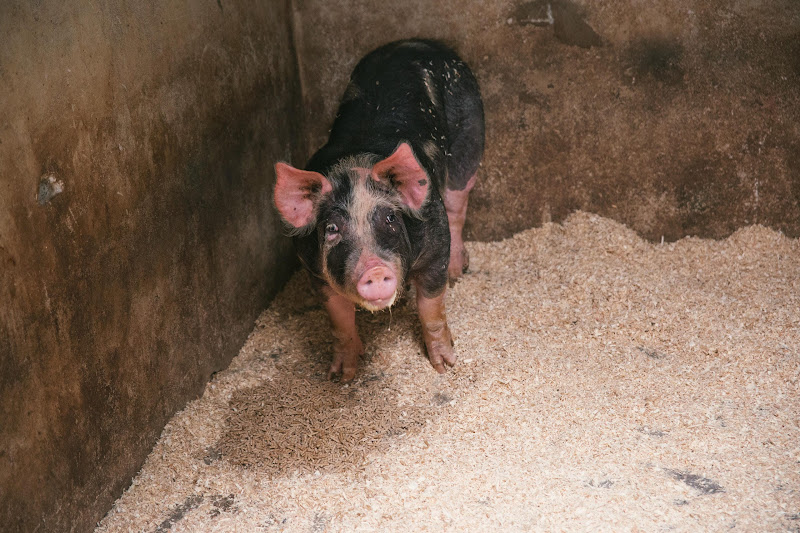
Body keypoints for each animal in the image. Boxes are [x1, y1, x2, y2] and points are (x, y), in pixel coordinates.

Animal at [274, 39, 484, 381]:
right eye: (332, 229)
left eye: (390, 218)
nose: (373, 269)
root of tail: (418, 41)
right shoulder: (313, 269)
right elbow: (339, 320)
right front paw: (342, 375)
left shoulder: (434, 243)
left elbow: (432, 307)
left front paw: (445, 365)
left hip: (470, 138)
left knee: (458, 206)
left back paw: (457, 272)